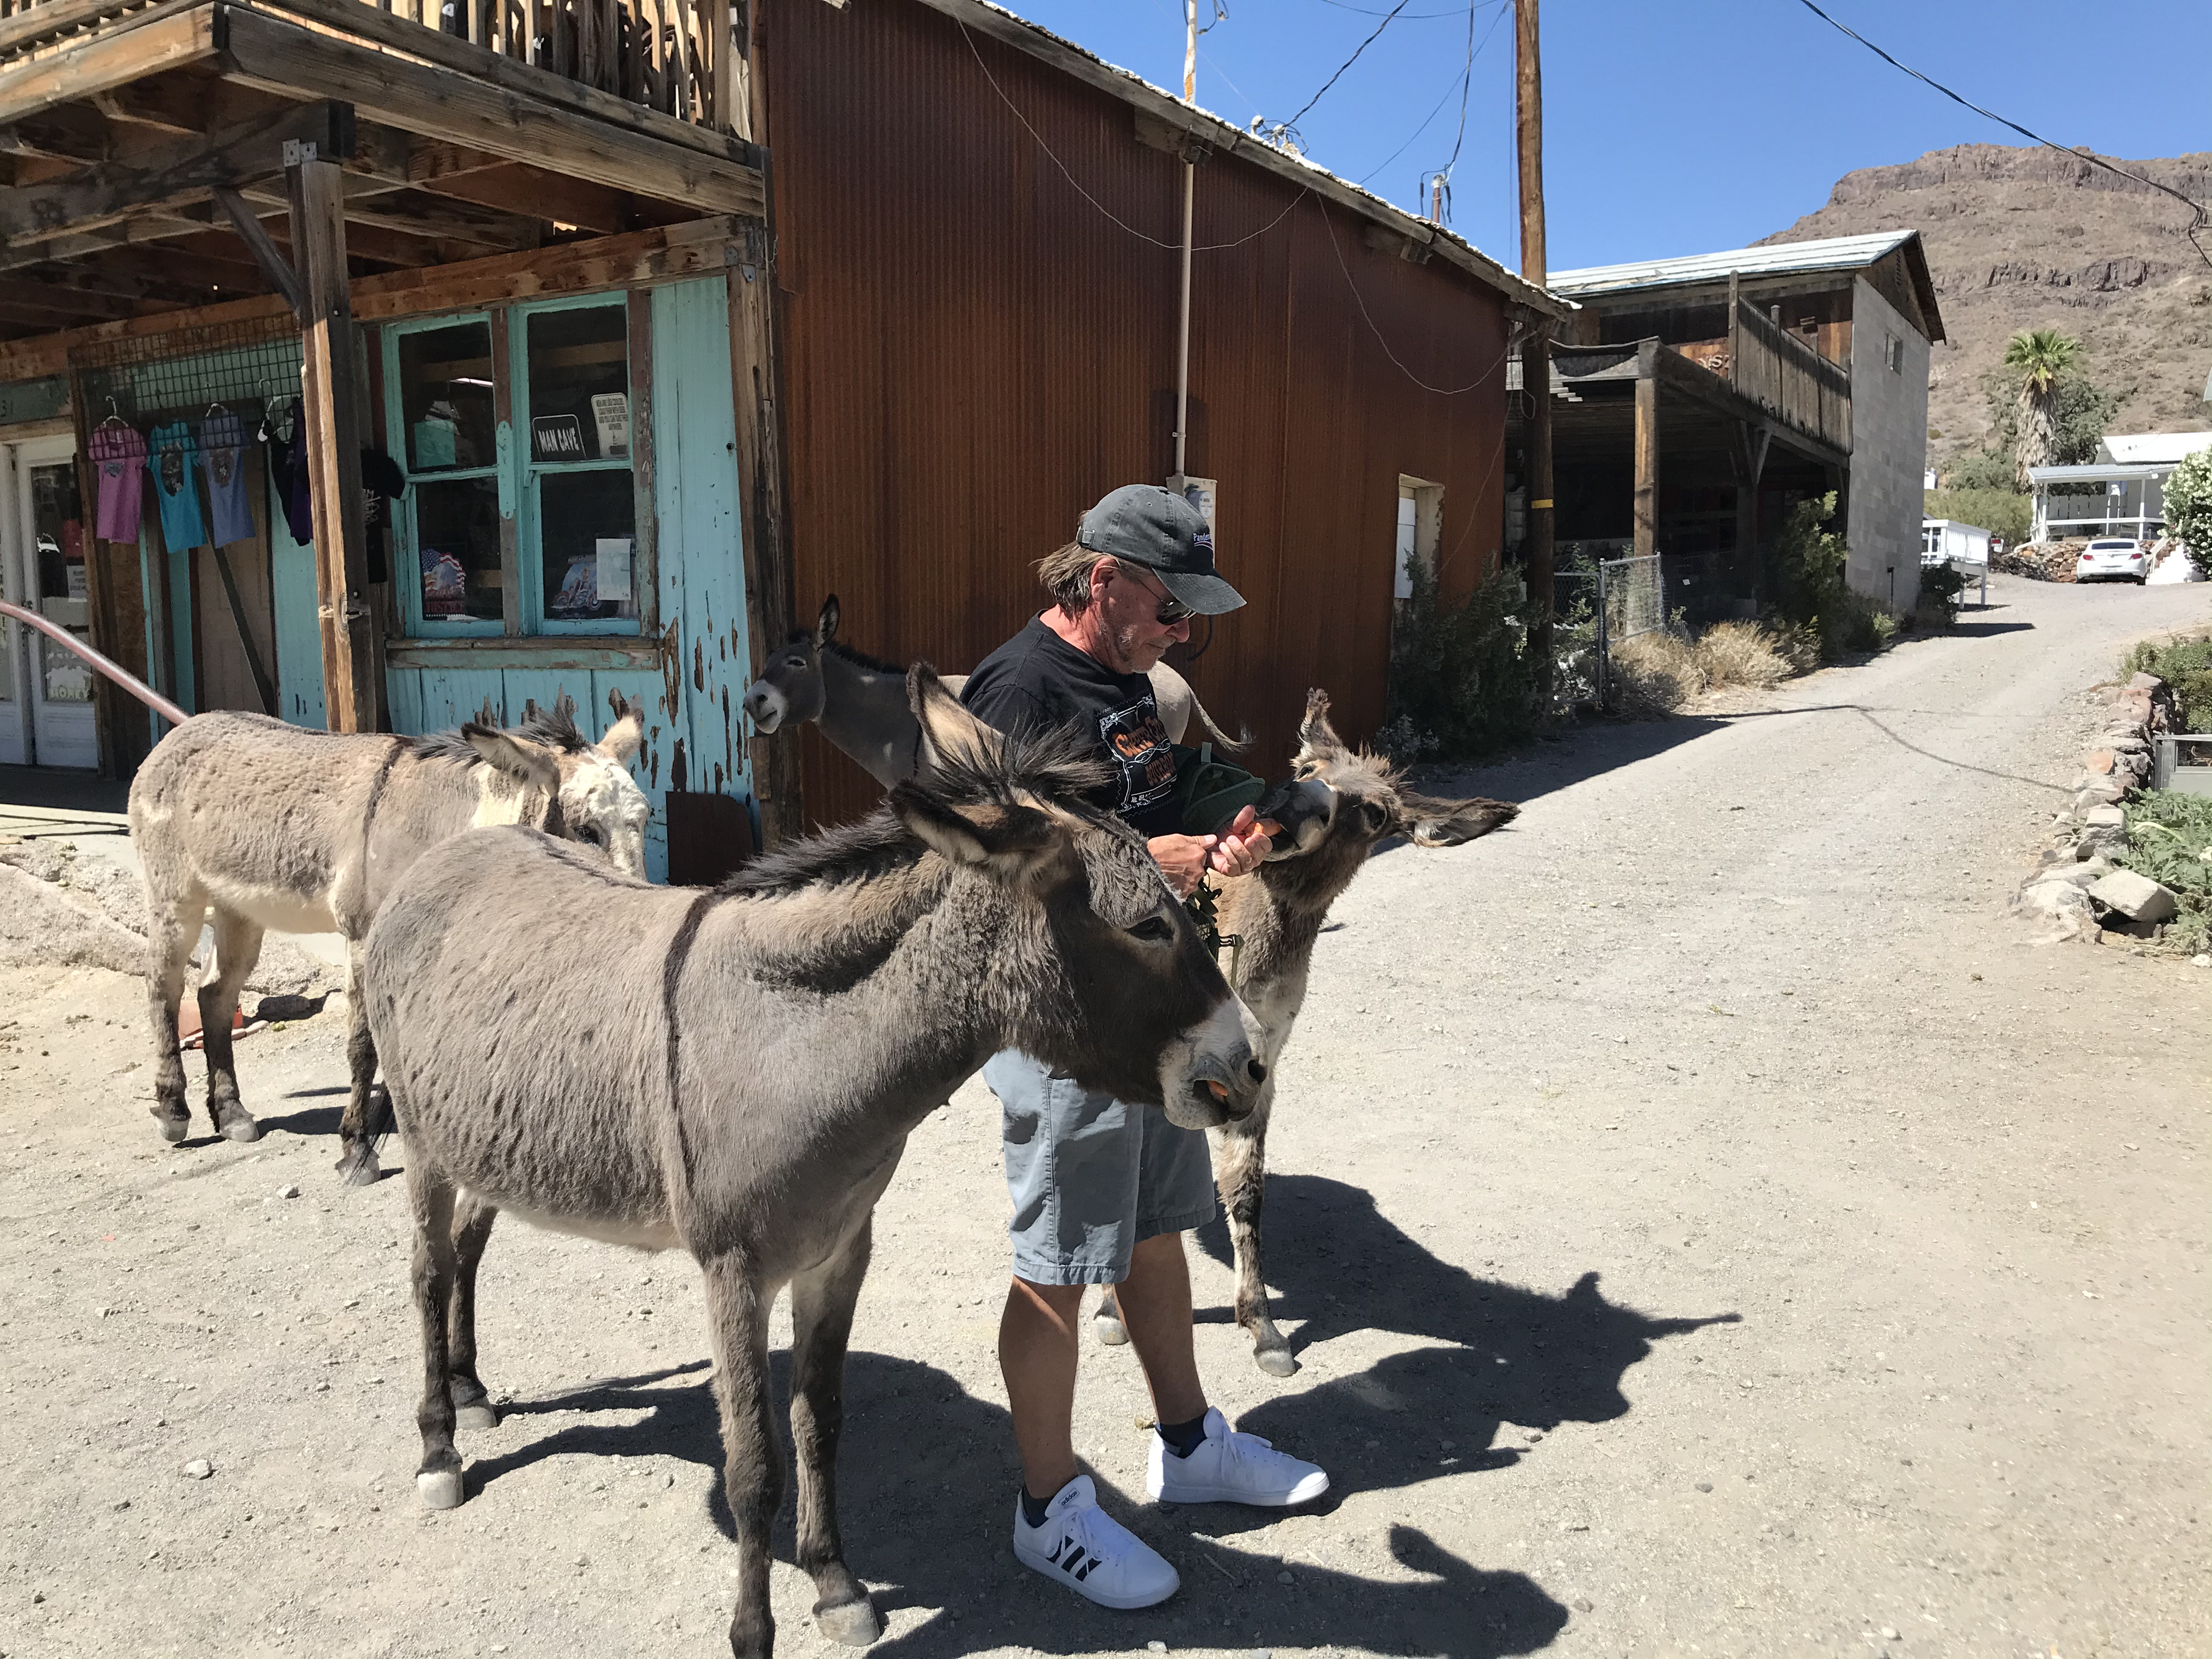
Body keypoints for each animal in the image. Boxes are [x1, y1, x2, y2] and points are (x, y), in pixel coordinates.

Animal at [127, 705, 647, 1180]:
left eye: (644, 819)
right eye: (586, 830)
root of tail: (180, 733)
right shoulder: (364, 938)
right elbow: (365, 1046)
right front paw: (357, 1147)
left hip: (239, 909)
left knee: (214, 995)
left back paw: (231, 1113)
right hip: (175, 896)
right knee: (162, 986)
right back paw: (174, 1111)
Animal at [359, 669, 1266, 1659]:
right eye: (1145, 925)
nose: (1248, 1068)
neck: (796, 1039)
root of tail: (459, 852)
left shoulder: (838, 1252)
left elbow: (819, 1423)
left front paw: (835, 1585)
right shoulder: (734, 1270)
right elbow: (753, 1465)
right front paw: (754, 1632)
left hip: (489, 1139)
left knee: (469, 1250)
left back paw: (471, 1385)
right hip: (422, 1143)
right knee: (426, 1272)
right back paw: (439, 1443)